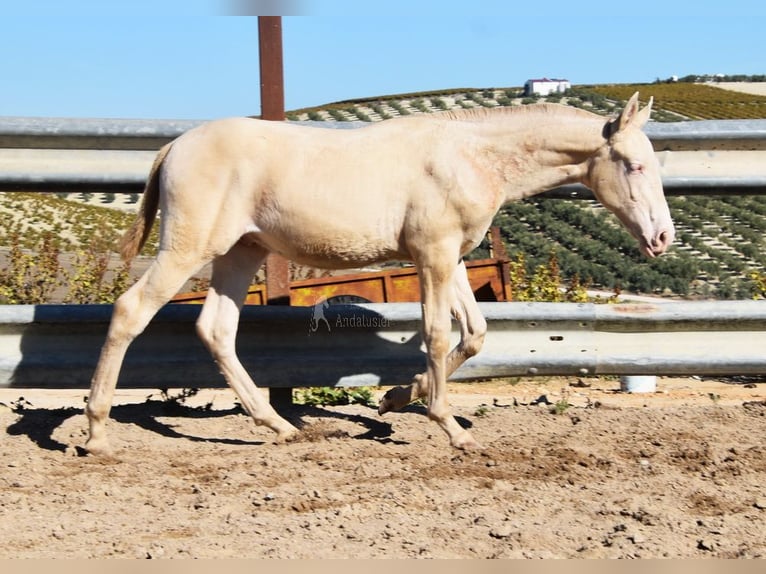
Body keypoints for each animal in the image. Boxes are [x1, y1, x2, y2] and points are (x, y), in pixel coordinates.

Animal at [82, 92, 672, 456]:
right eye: (635, 165)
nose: (662, 238)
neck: (469, 156)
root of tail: (174, 146)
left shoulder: (453, 256)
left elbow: (475, 334)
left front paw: (393, 397)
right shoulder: (432, 254)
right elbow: (437, 334)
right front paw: (451, 428)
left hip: (240, 252)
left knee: (216, 330)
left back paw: (279, 426)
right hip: (190, 248)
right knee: (131, 311)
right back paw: (96, 433)